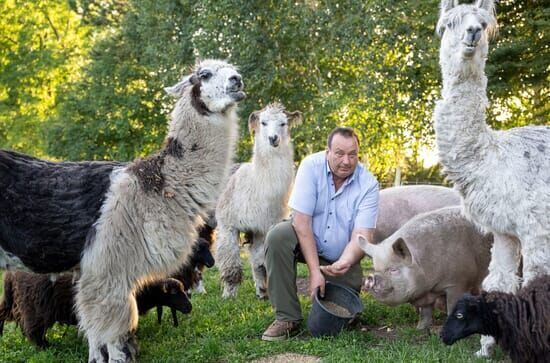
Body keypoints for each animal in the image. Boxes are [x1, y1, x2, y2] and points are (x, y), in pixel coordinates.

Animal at [0, 272, 193, 346]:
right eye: (174, 293)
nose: (189, 307)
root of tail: (11, 274)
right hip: (36, 308)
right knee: (34, 330)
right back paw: (45, 346)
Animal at [216, 102, 302, 298]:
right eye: (263, 122)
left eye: (283, 123)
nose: (273, 138)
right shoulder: (227, 224)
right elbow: (230, 262)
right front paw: (229, 295)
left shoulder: (262, 227)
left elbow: (259, 261)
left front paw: (262, 292)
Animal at [436, 0, 550, 358]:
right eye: (451, 23)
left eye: (483, 23)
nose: (472, 32)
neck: (492, 158)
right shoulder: (505, 230)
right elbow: (498, 281)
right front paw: (486, 347)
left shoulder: (535, 227)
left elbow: (535, 283)